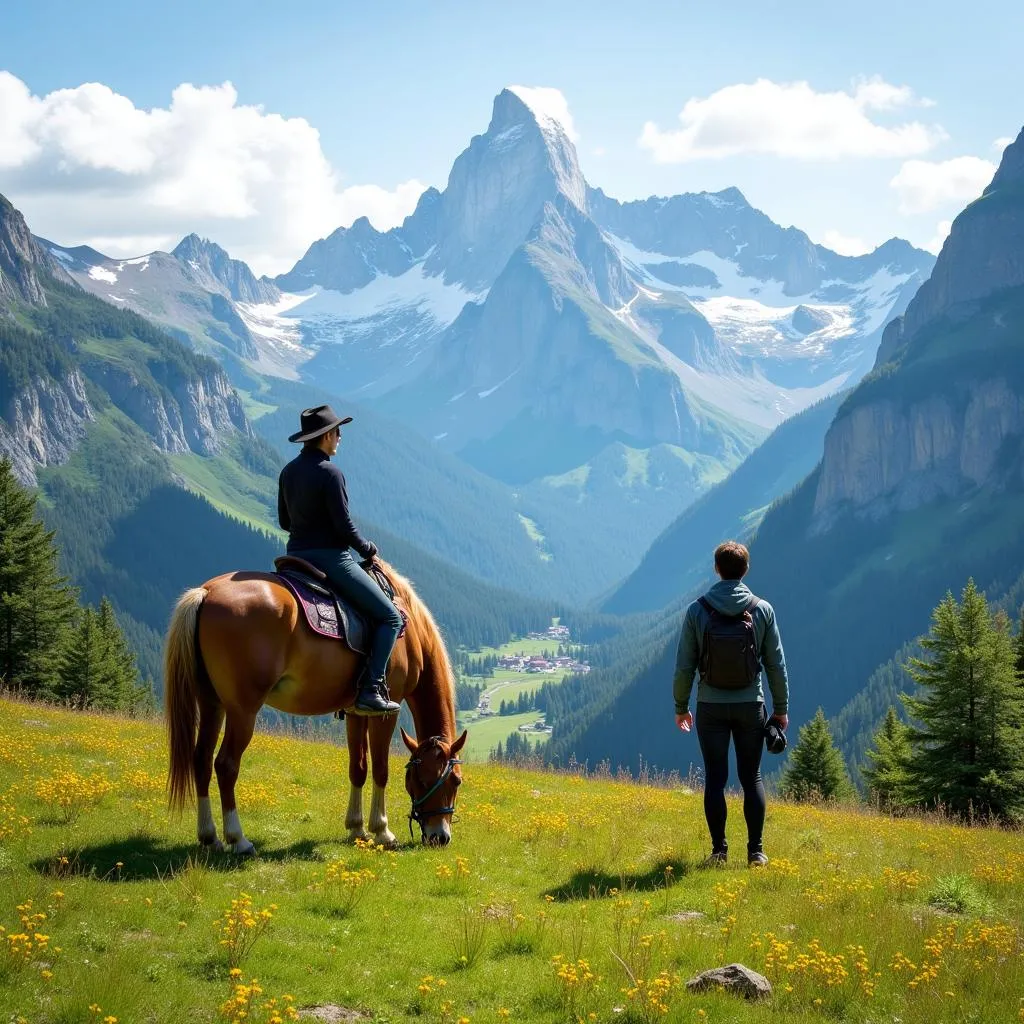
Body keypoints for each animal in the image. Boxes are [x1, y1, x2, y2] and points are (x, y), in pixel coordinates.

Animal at [164, 561, 468, 847]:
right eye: (455, 780)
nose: (440, 837)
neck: (412, 630)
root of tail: (207, 592)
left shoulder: (357, 712)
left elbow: (358, 768)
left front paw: (356, 828)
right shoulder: (386, 712)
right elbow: (381, 770)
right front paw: (382, 831)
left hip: (211, 703)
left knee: (201, 759)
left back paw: (209, 836)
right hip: (243, 710)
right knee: (226, 765)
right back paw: (238, 839)